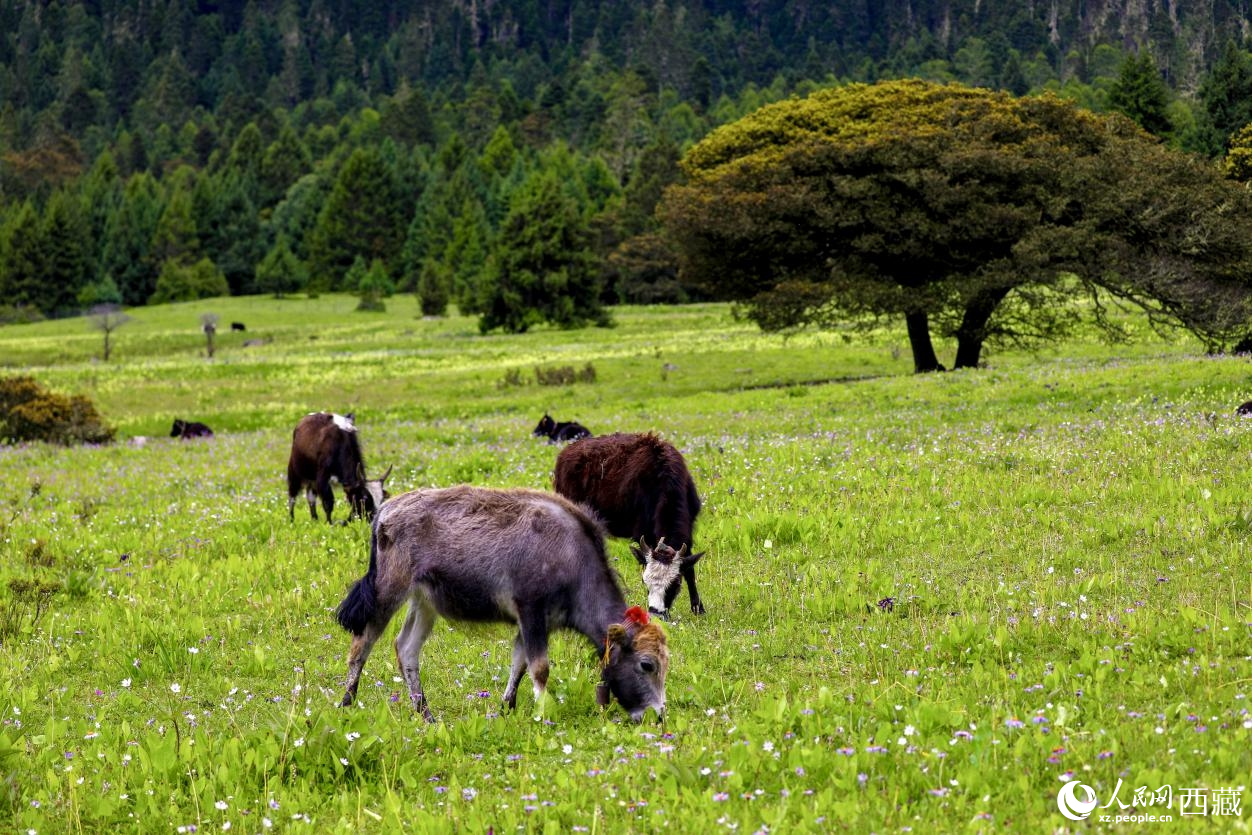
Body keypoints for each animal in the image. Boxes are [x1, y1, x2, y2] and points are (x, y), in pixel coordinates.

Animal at [333, 485, 666, 721]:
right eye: (646, 664)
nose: (657, 715)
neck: (574, 558)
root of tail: (385, 510)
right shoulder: (531, 612)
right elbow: (540, 668)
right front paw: (543, 715)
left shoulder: (534, 624)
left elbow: (519, 664)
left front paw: (506, 708)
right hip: (387, 592)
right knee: (361, 644)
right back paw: (346, 702)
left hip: (424, 604)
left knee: (406, 649)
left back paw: (426, 714)